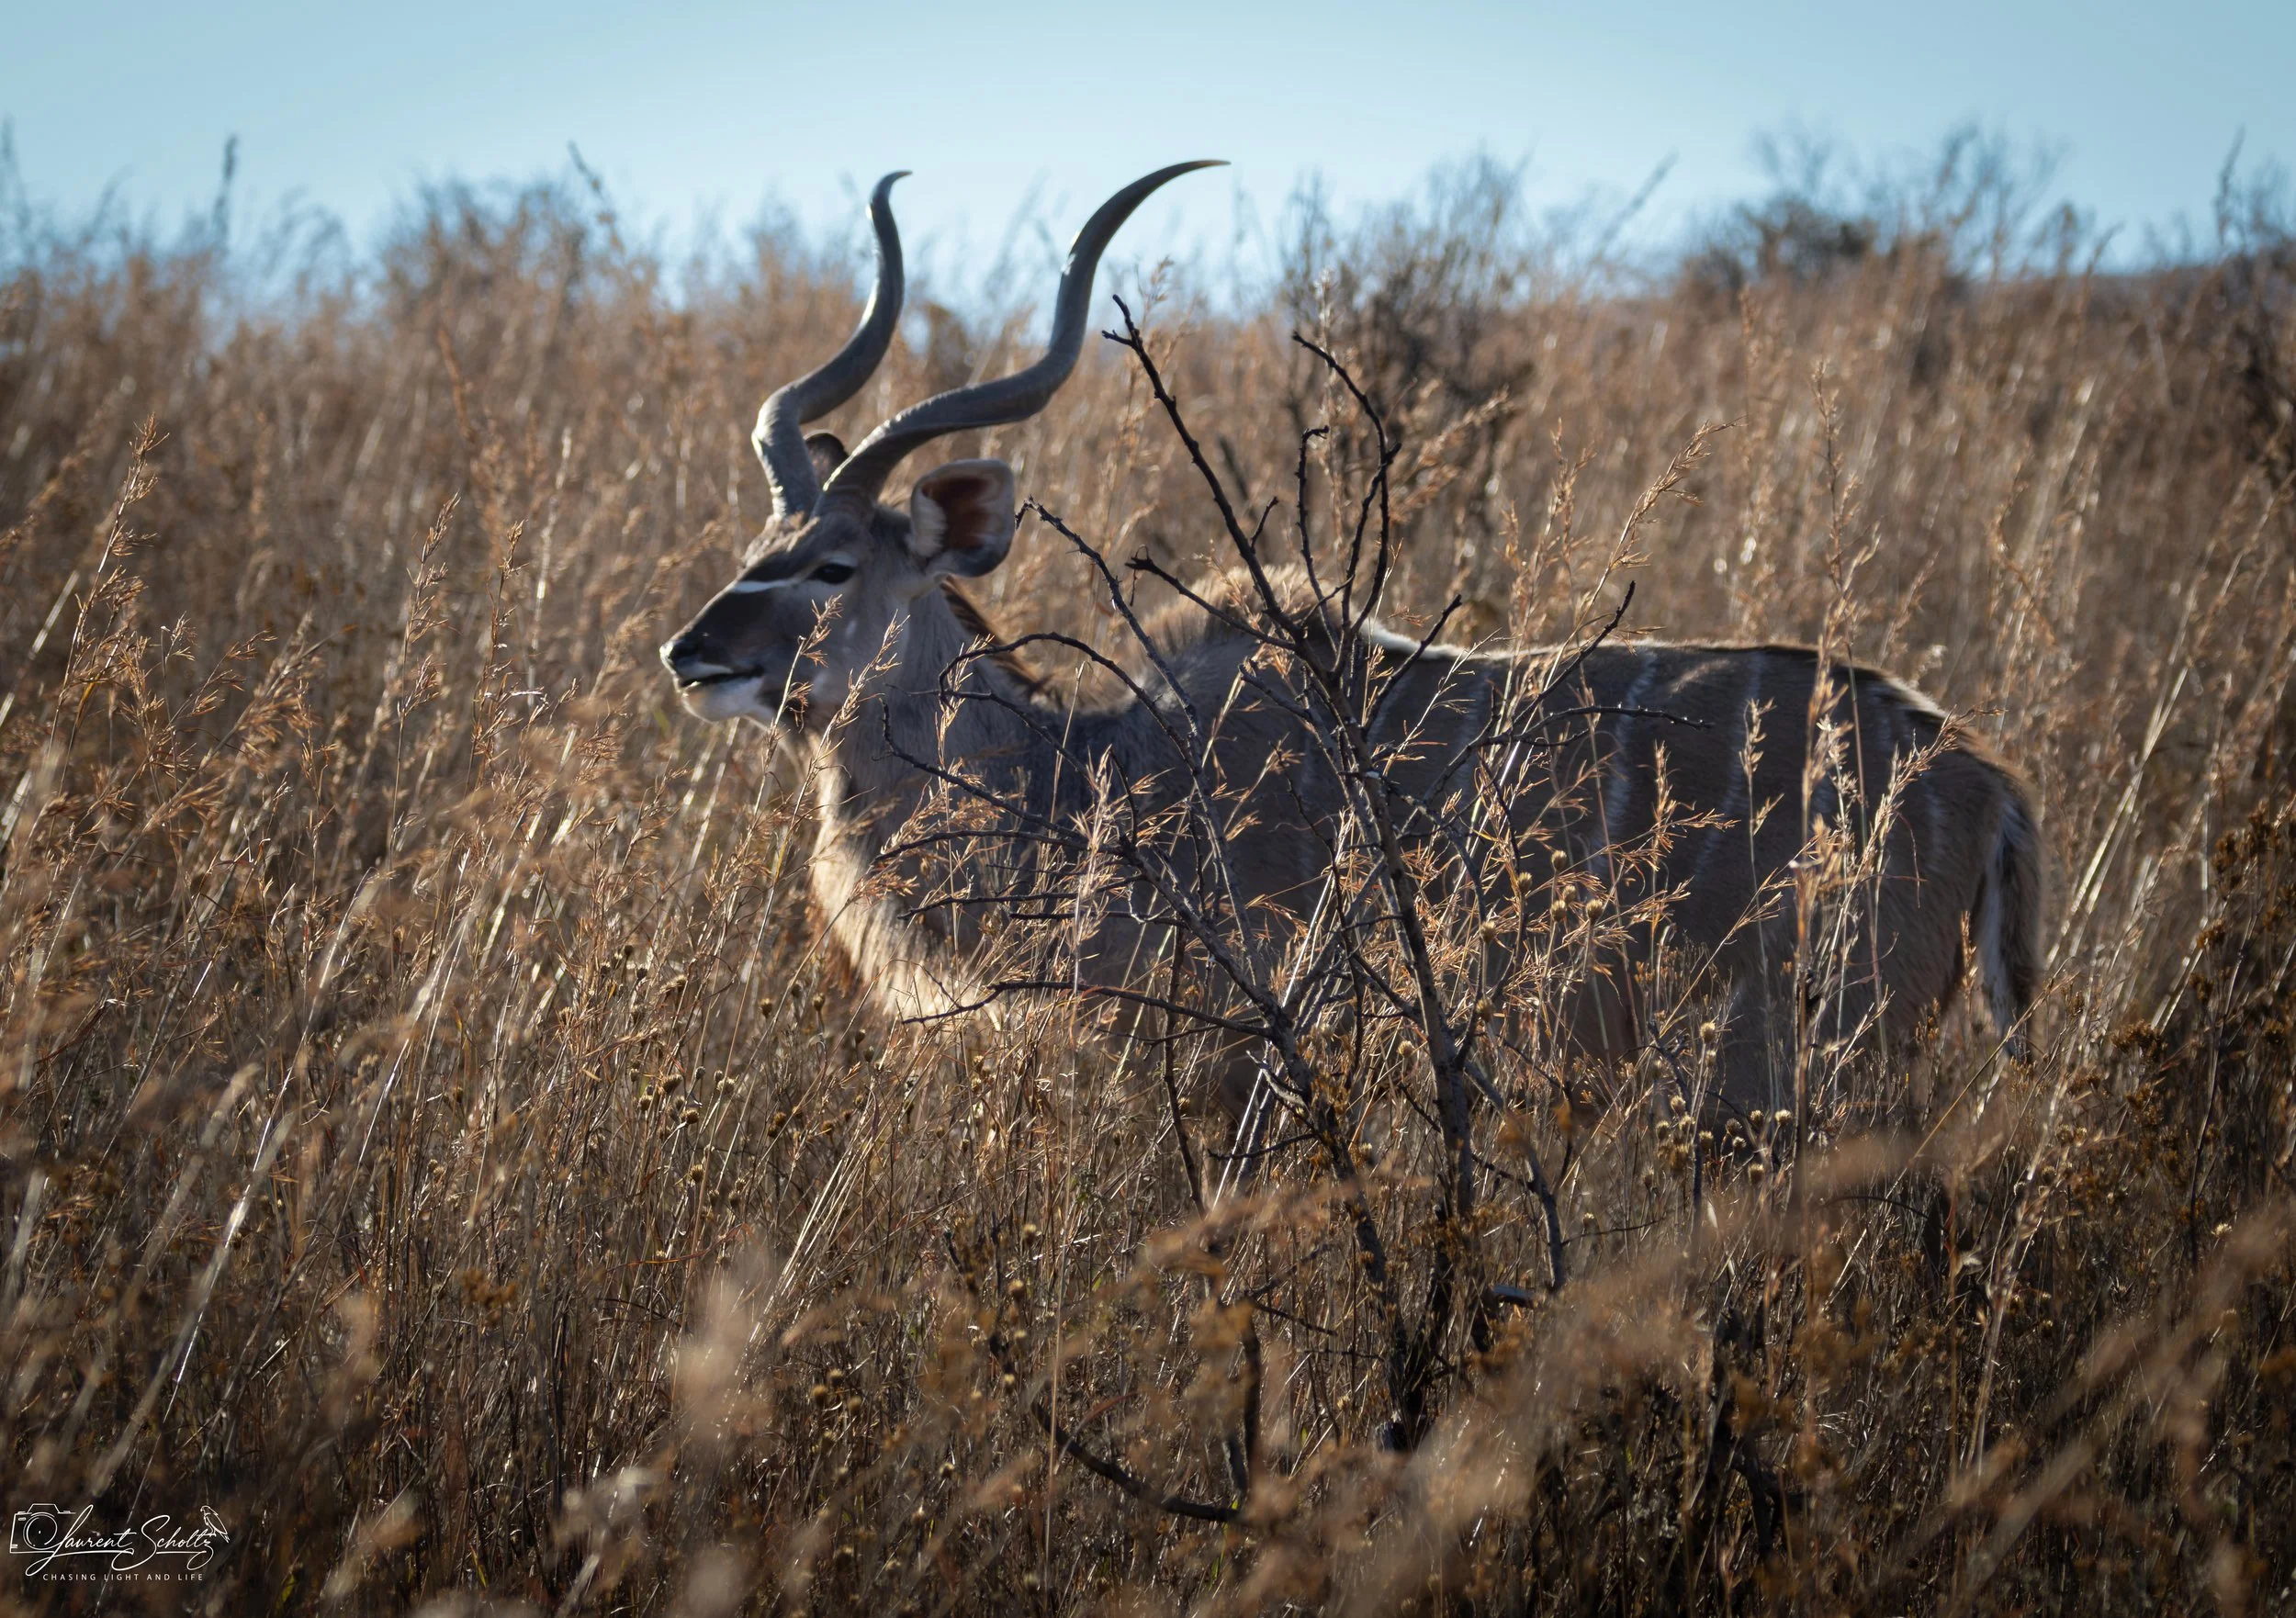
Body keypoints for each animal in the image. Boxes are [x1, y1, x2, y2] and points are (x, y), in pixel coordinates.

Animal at [659, 164, 2044, 1119]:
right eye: (759, 539)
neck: (1092, 783)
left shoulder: (1223, 1060)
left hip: (1794, 1064)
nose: (693, 653)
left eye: (833, 565)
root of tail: (1980, 777)